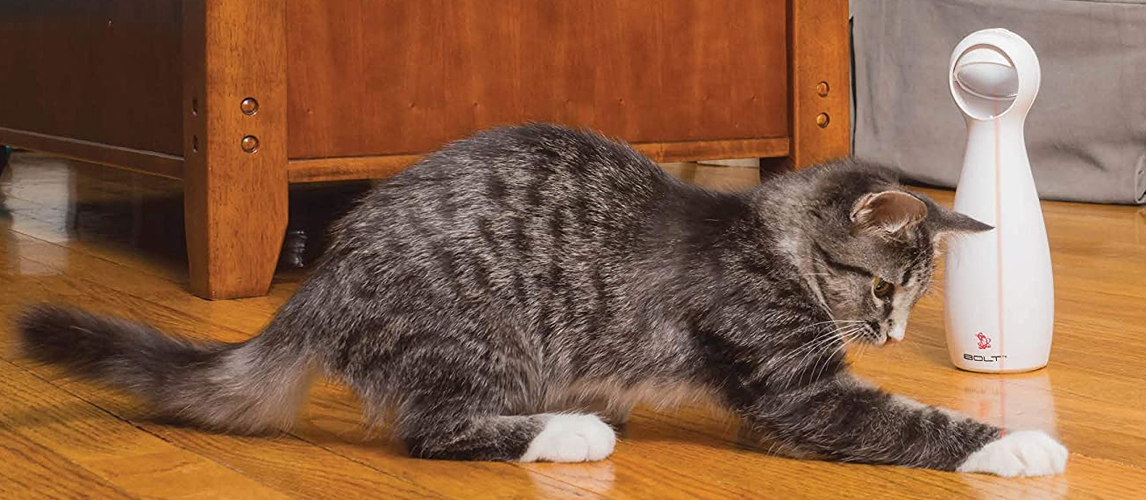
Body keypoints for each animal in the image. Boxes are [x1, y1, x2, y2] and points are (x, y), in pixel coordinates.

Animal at [17, 123, 1063, 474]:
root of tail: (325, 279)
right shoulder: (796, 389)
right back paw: (570, 430)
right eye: (884, 286)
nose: (886, 332)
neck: (768, 244)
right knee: (433, 430)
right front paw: (1021, 446)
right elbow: (912, 421)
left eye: (913, 300)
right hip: (483, 335)